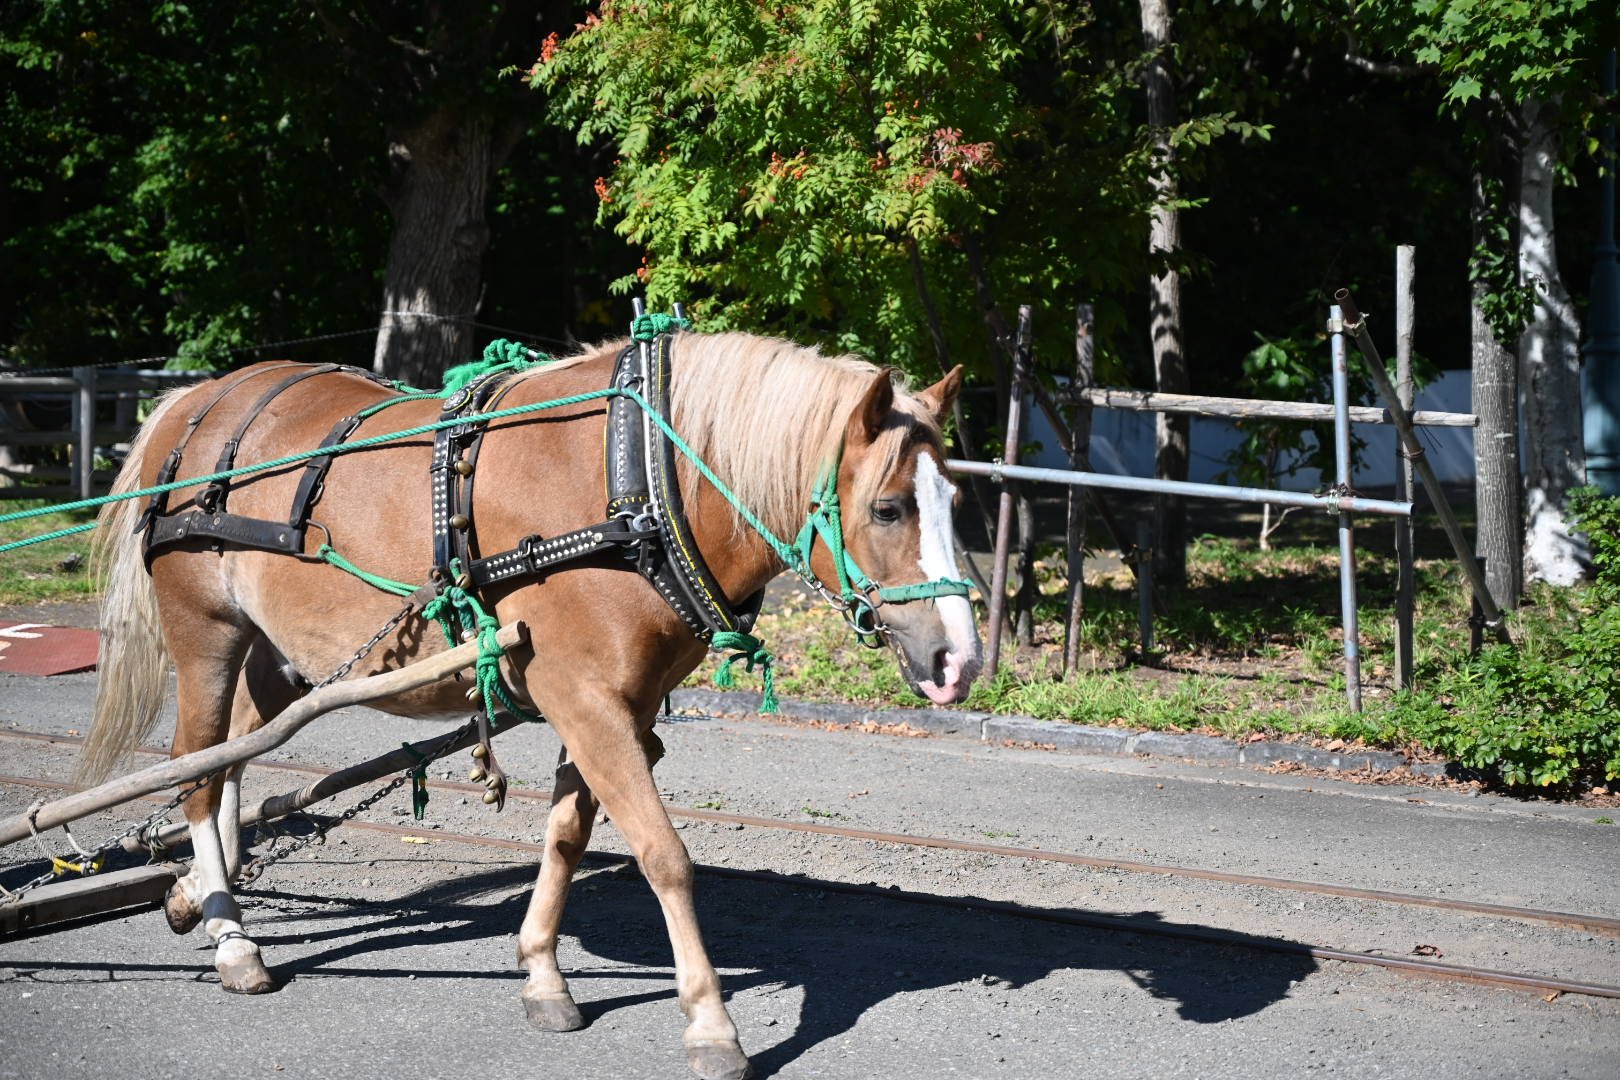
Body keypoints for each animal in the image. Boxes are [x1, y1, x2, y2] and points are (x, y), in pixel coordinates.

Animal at [79, 329, 983, 1080]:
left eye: (955, 504)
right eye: (888, 509)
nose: (961, 660)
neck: (637, 485)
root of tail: (199, 400)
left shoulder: (619, 705)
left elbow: (566, 837)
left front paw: (544, 972)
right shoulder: (588, 700)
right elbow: (663, 854)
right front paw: (710, 1023)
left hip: (282, 655)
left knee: (230, 758)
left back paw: (200, 894)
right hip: (206, 633)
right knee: (196, 776)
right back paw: (234, 941)